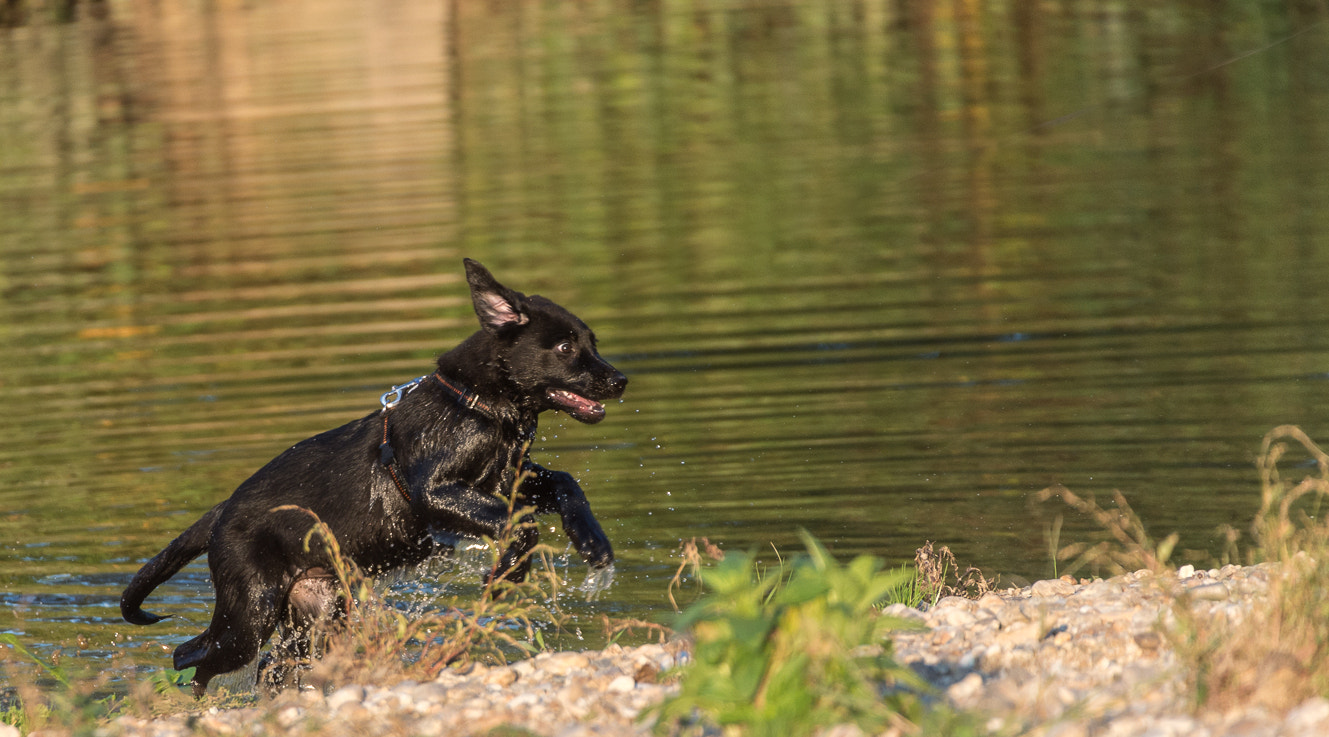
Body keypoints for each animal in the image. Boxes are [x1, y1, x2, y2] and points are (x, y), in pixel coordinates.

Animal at [120, 261, 627, 695]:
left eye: (594, 342)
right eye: (565, 349)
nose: (621, 380)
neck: (478, 405)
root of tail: (222, 511)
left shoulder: (510, 479)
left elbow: (565, 484)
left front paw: (593, 543)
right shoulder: (436, 494)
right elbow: (521, 522)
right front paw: (505, 577)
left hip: (315, 607)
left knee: (270, 664)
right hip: (251, 611)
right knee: (191, 656)